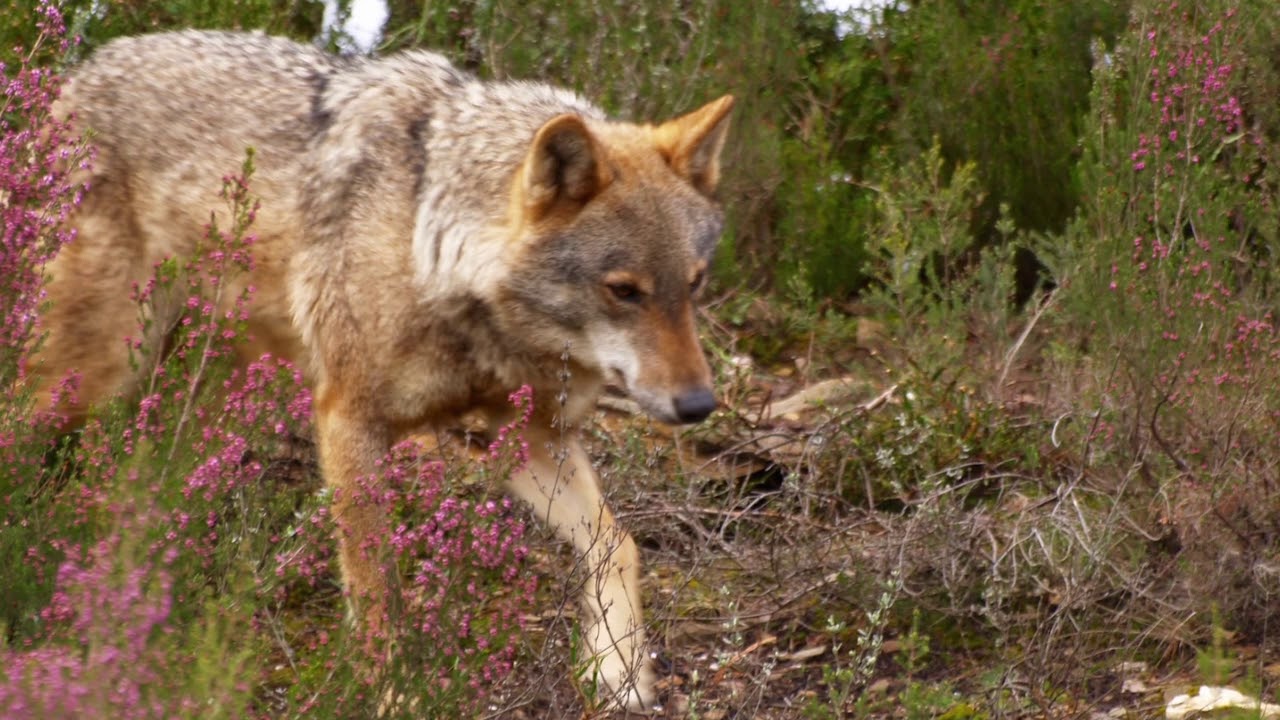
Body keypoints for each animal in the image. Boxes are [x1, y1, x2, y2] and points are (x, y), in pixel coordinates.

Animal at [30, 30, 732, 709]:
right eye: (624, 291)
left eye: (695, 284)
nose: (700, 406)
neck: (434, 248)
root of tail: (81, 71)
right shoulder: (348, 421)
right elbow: (378, 593)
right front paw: (394, 693)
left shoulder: (528, 438)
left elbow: (618, 545)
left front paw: (619, 670)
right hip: (94, 371)